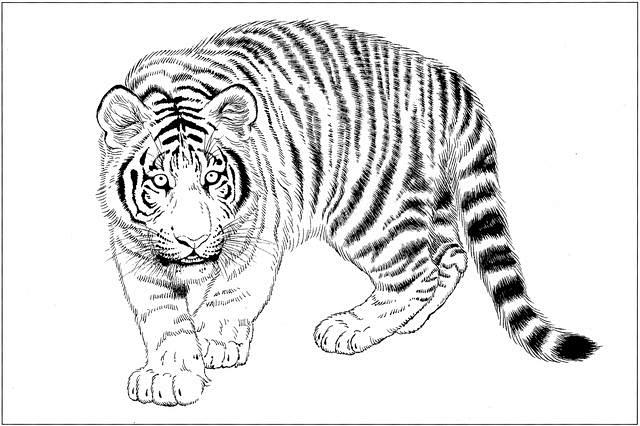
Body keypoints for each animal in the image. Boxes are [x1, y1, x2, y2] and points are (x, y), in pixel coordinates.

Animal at [97, 20, 598, 406]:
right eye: (160, 183)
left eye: (213, 179)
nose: (194, 240)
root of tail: (447, 81)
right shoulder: (135, 254)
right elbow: (162, 318)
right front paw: (171, 372)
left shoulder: (257, 239)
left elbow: (229, 298)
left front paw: (215, 343)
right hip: (426, 201)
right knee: (449, 257)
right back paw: (407, 324)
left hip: (370, 208)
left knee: (415, 273)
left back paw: (351, 327)